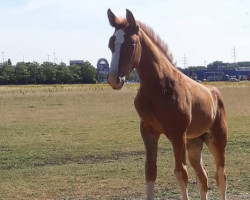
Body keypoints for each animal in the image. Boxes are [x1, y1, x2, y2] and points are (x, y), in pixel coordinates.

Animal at [106, 9, 228, 200]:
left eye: (132, 44)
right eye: (111, 44)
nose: (114, 79)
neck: (160, 87)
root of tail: (215, 92)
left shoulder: (177, 135)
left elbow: (181, 173)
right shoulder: (149, 132)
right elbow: (150, 171)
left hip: (217, 139)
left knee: (220, 176)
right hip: (194, 143)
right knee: (203, 177)